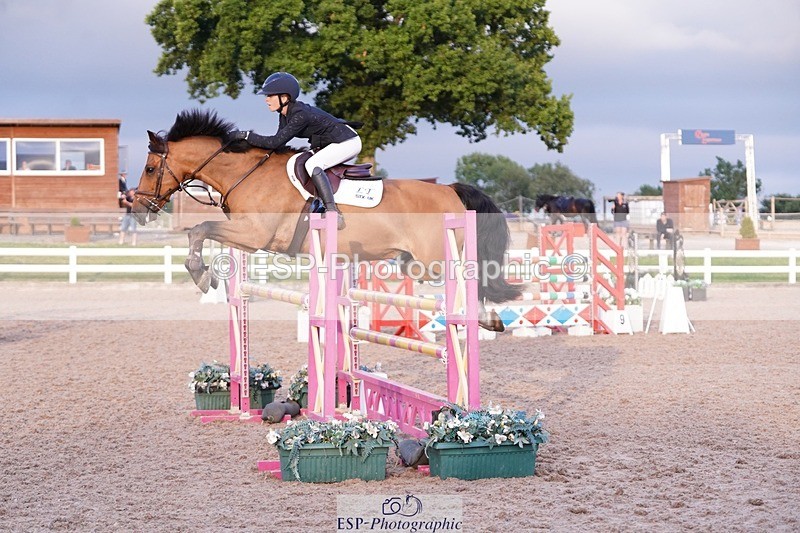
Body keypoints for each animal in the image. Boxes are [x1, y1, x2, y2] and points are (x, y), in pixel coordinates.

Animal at [132, 109, 521, 331]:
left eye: (150, 169)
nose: (138, 210)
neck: (246, 173)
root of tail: (451, 190)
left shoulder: (255, 234)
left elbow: (200, 229)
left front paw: (201, 276)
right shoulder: (246, 235)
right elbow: (203, 232)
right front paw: (207, 276)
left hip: (434, 258)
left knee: (468, 277)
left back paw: (484, 317)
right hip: (418, 261)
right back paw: (489, 319)